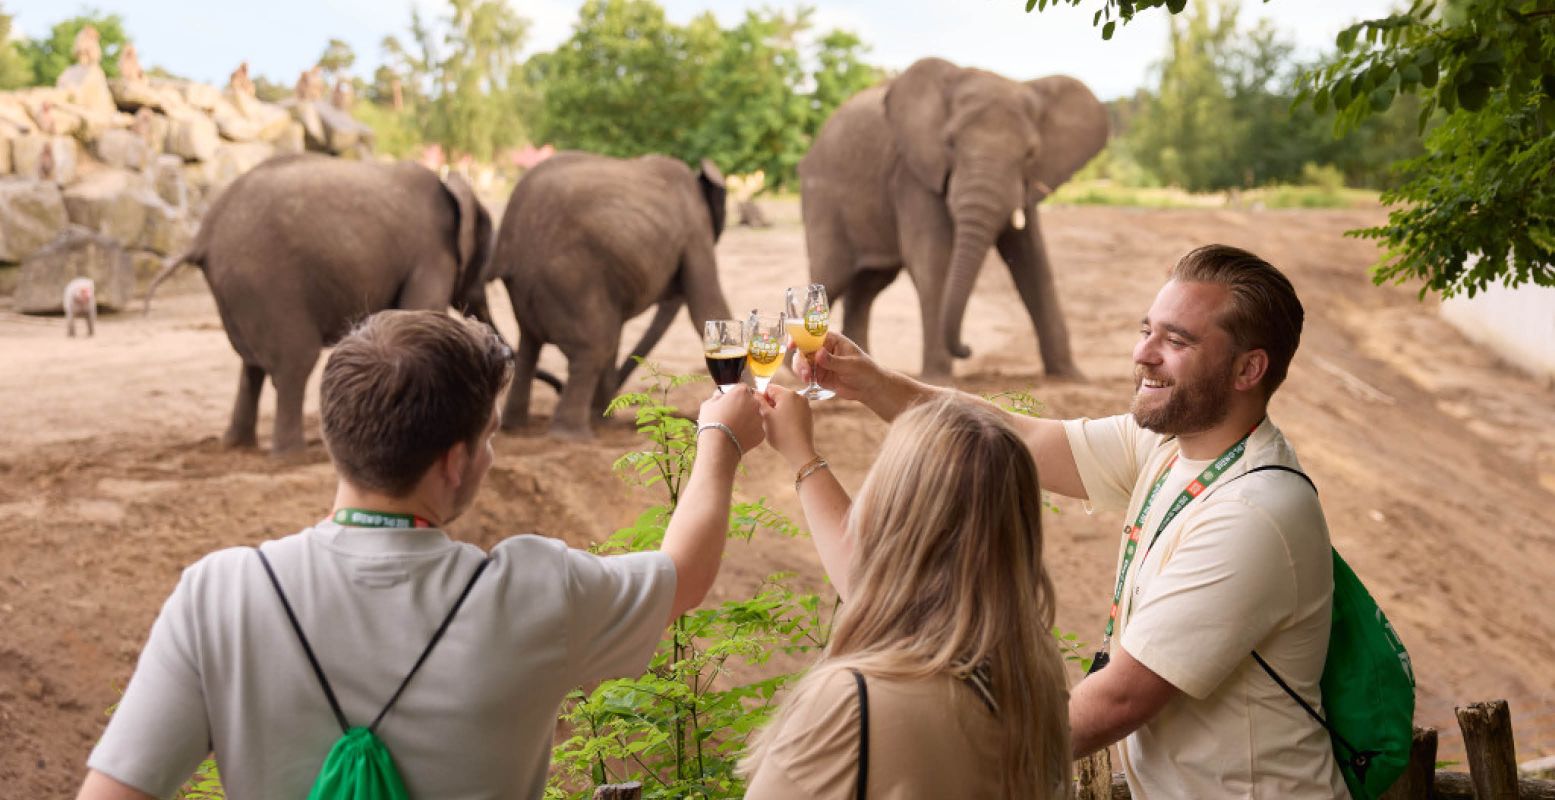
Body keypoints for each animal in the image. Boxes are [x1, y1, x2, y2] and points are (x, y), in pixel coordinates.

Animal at [143, 152, 500, 451]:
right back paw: (292, 454)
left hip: (238, 289)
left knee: (251, 365)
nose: (502, 353)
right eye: (484, 263)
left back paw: (236, 446)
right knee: (296, 359)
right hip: (267, 281)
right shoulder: (432, 254)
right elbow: (420, 313)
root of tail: (203, 235)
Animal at [485, 149, 727, 435]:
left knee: (531, 344)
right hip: (570, 279)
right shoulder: (696, 232)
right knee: (594, 346)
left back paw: (516, 428)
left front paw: (603, 418)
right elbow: (707, 308)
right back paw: (571, 436)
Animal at [802, 56, 1107, 379]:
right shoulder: (914, 175)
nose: (967, 348)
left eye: (1030, 154)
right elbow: (934, 259)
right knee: (832, 276)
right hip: (822, 199)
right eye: (949, 144)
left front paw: (1072, 376)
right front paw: (938, 377)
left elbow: (1034, 261)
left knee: (867, 287)